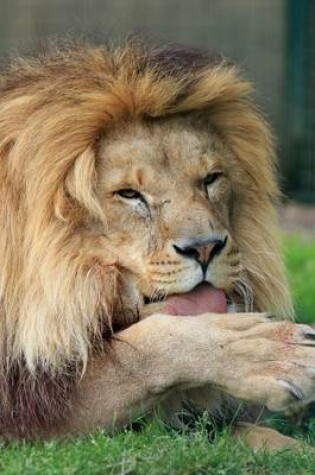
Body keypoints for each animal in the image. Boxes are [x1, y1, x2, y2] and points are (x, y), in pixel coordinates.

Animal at [0, 39, 315, 448]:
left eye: (211, 179)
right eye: (129, 194)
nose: (205, 248)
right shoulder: (28, 403)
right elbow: (146, 350)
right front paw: (271, 350)